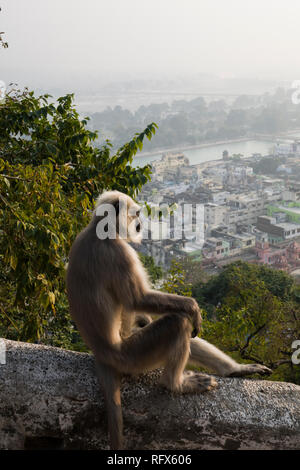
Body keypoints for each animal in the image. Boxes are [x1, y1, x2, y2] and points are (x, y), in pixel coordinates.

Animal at [67, 190, 274, 448]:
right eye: (136, 214)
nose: (140, 224)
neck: (98, 230)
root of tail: (102, 353)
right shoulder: (119, 252)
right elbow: (139, 299)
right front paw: (193, 306)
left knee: (184, 329)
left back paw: (234, 370)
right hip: (133, 356)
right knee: (178, 323)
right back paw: (176, 384)